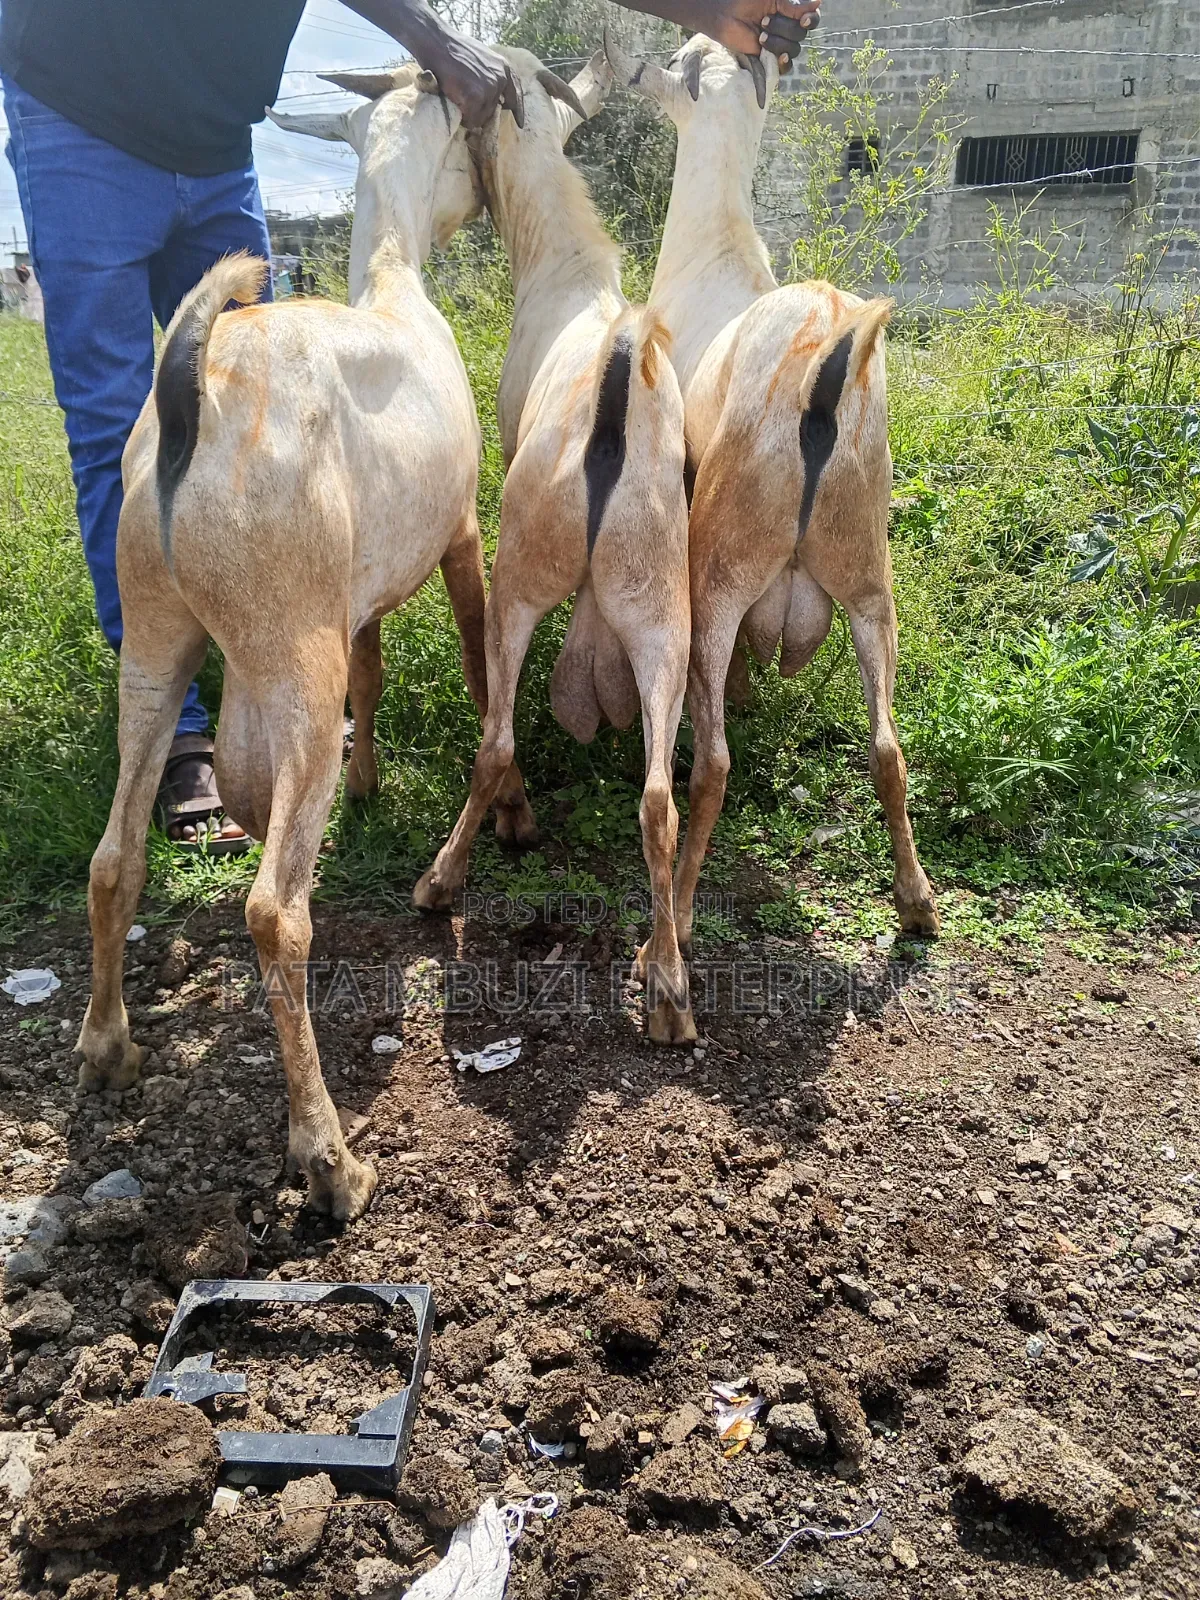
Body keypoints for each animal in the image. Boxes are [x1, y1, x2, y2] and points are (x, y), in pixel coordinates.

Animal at [74, 65, 528, 1222]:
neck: (395, 282)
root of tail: (192, 385)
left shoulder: (353, 595)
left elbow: (376, 663)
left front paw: (369, 786)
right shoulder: (459, 529)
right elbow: (475, 660)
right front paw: (508, 813)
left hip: (159, 633)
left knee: (115, 851)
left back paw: (108, 1048)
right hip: (289, 650)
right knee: (276, 910)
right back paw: (330, 1159)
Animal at [412, 49, 696, 1044]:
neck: (568, 268)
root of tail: (618, 366)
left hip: (521, 575)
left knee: (495, 741)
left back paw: (442, 879)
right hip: (662, 600)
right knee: (658, 797)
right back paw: (669, 988)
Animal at [606, 33, 940, 953]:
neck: (717, 245)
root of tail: (834, 349)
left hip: (722, 569)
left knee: (714, 762)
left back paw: (674, 929)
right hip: (869, 578)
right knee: (889, 748)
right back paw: (917, 903)